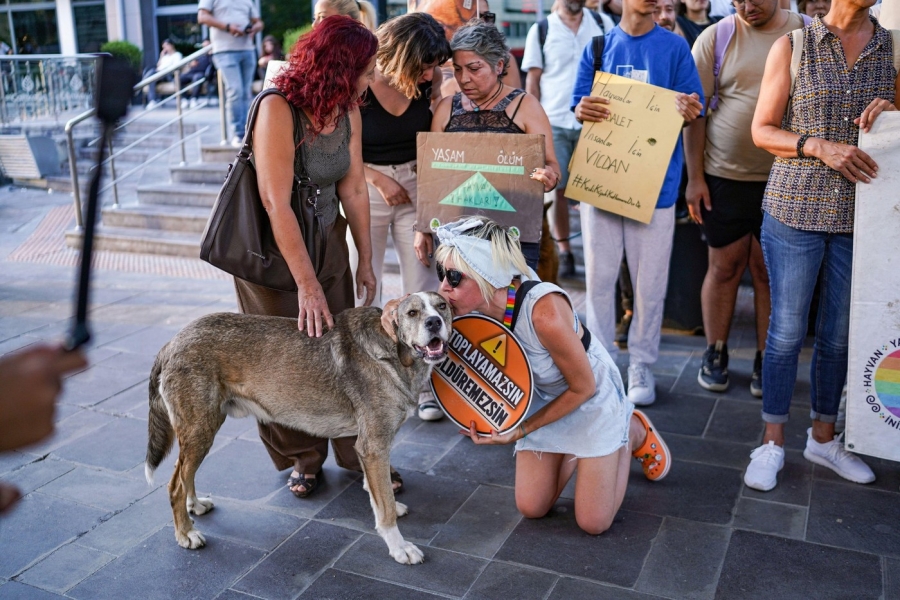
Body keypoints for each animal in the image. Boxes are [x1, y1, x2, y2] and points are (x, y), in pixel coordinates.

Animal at [146, 292, 450, 564]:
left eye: (442, 306)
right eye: (412, 313)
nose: (434, 322)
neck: (390, 351)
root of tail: (172, 342)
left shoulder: (368, 449)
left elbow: (379, 493)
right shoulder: (374, 447)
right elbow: (383, 505)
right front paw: (399, 547)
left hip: (202, 431)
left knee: (184, 474)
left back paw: (194, 505)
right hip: (201, 430)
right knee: (175, 485)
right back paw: (185, 533)